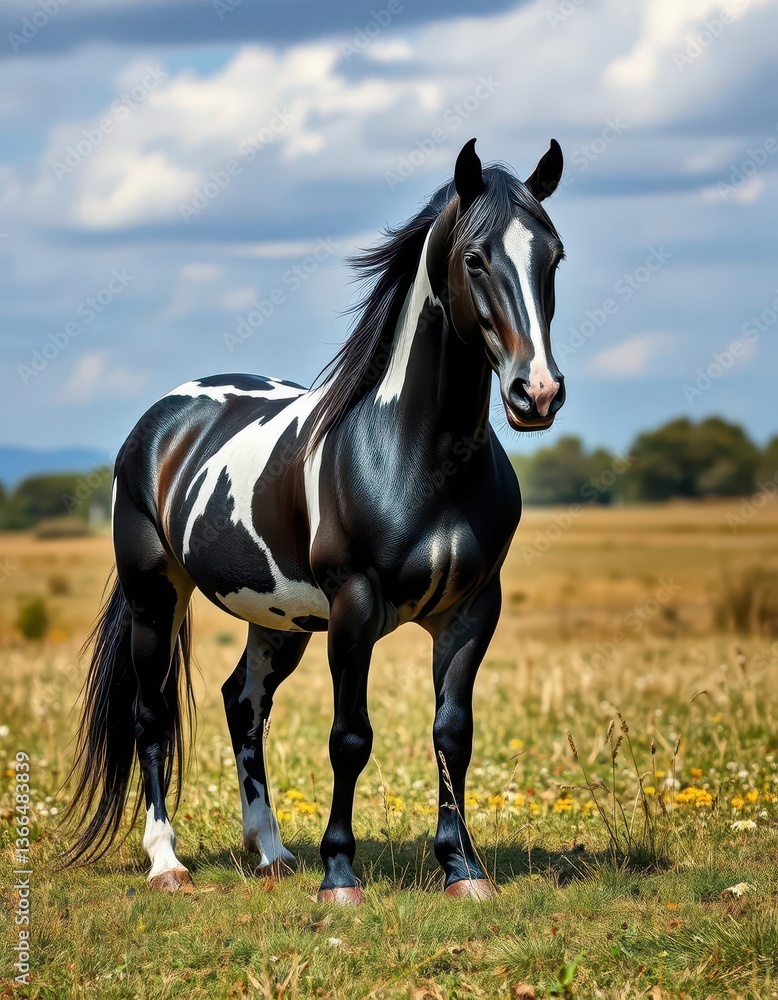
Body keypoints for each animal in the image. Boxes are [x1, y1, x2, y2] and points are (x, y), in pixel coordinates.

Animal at [65, 137, 566, 903]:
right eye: (477, 258)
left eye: (554, 256)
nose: (535, 393)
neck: (416, 458)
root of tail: (164, 419)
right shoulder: (355, 608)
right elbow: (349, 738)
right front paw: (339, 874)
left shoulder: (473, 609)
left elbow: (453, 733)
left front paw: (462, 869)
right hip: (156, 596)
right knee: (150, 717)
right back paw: (167, 863)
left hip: (278, 618)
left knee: (243, 706)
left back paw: (271, 852)